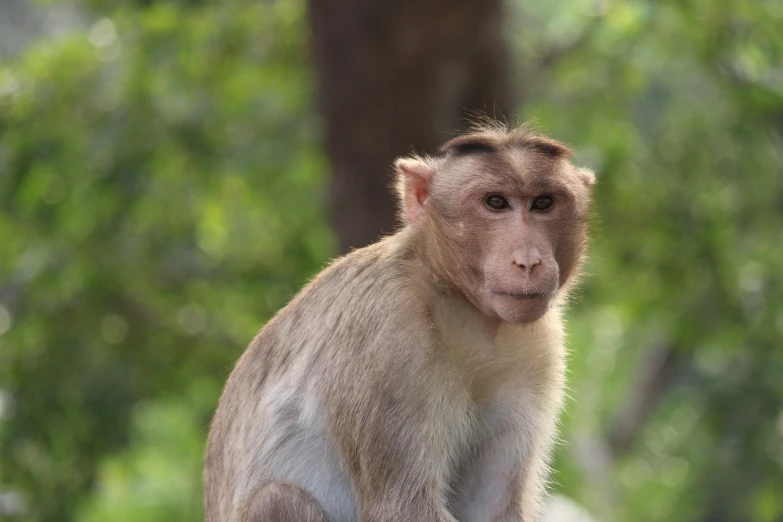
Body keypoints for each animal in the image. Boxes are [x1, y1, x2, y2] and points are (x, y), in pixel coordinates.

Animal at [202, 121, 596, 520]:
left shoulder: (538, 349)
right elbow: (402, 504)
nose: (529, 261)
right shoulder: (386, 333)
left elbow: (494, 508)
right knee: (280, 497)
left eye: (543, 203)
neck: (462, 305)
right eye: (496, 202)